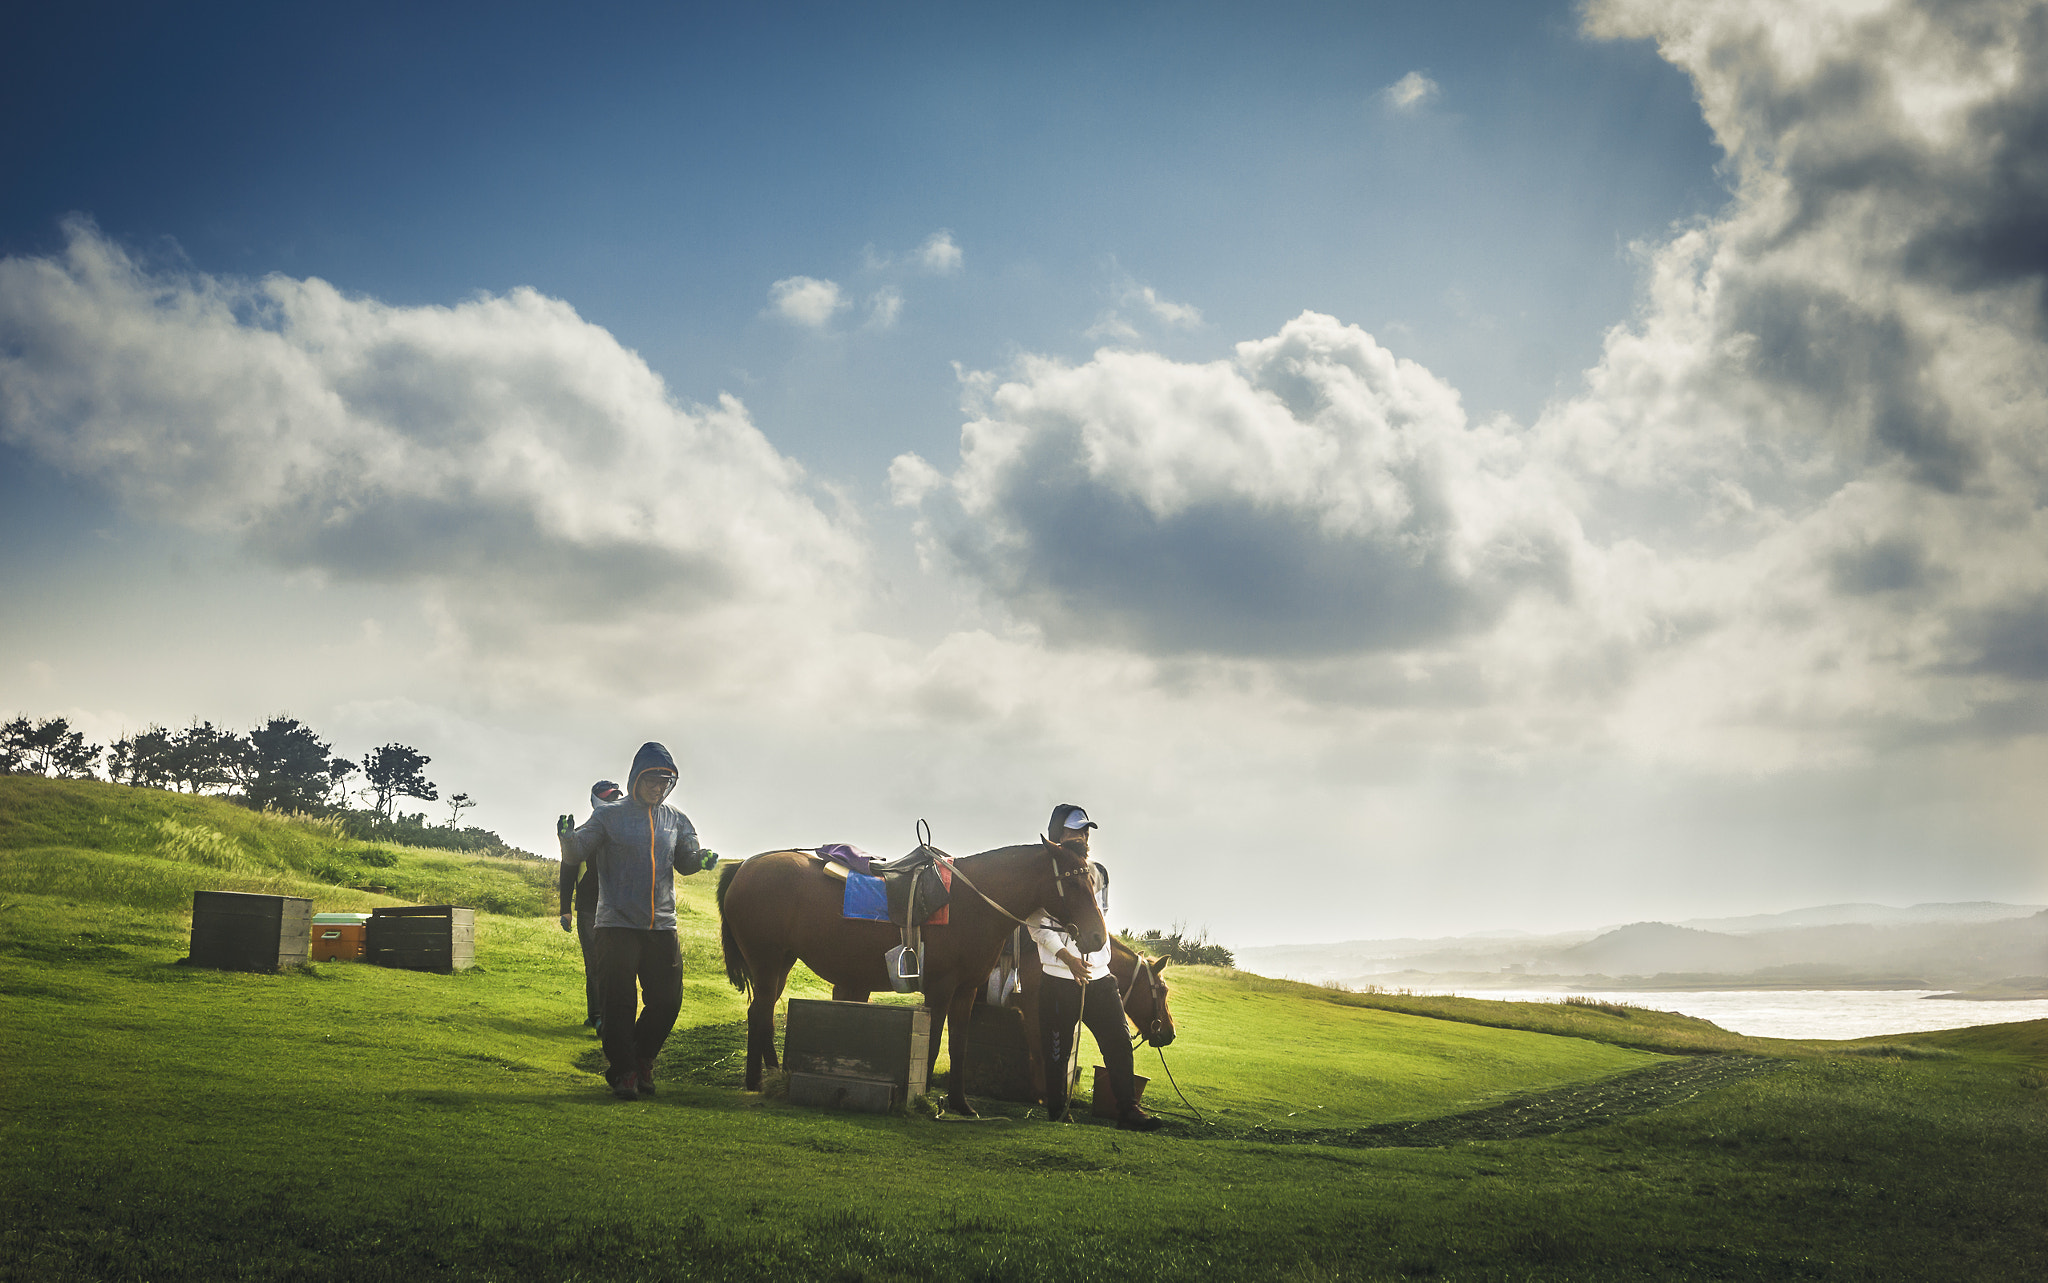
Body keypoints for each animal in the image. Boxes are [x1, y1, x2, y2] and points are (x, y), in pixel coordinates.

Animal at [716, 840, 1105, 1106]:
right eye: (1074, 883)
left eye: (1093, 882)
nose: (1097, 937)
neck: (970, 902)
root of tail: (747, 865)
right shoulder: (940, 988)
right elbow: (931, 1045)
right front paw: (923, 1098)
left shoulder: (965, 992)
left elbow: (958, 1045)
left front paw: (960, 1104)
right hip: (766, 962)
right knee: (760, 1014)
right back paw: (759, 1079)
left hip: (781, 962)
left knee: (762, 1012)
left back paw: (766, 1075)